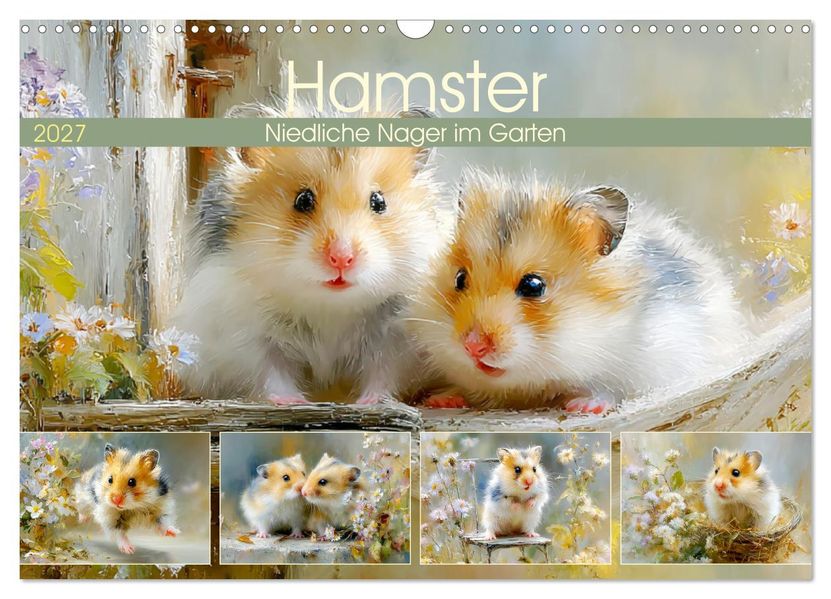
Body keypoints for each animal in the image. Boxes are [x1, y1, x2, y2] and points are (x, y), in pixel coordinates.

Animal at [173, 102, 453, 406]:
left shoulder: (394, 337)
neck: (329, 306)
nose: (341, 258)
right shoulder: (245, 334)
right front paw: (294, 402)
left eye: (379, 201)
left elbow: (383, 373)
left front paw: (369, 402)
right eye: (303, 200)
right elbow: (271, 373)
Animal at [409, 169, 746, 413]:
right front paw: (441, 399)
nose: (472, 346)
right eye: (459, 279)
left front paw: (582, 406)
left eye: (534, 286)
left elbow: (609, 388)